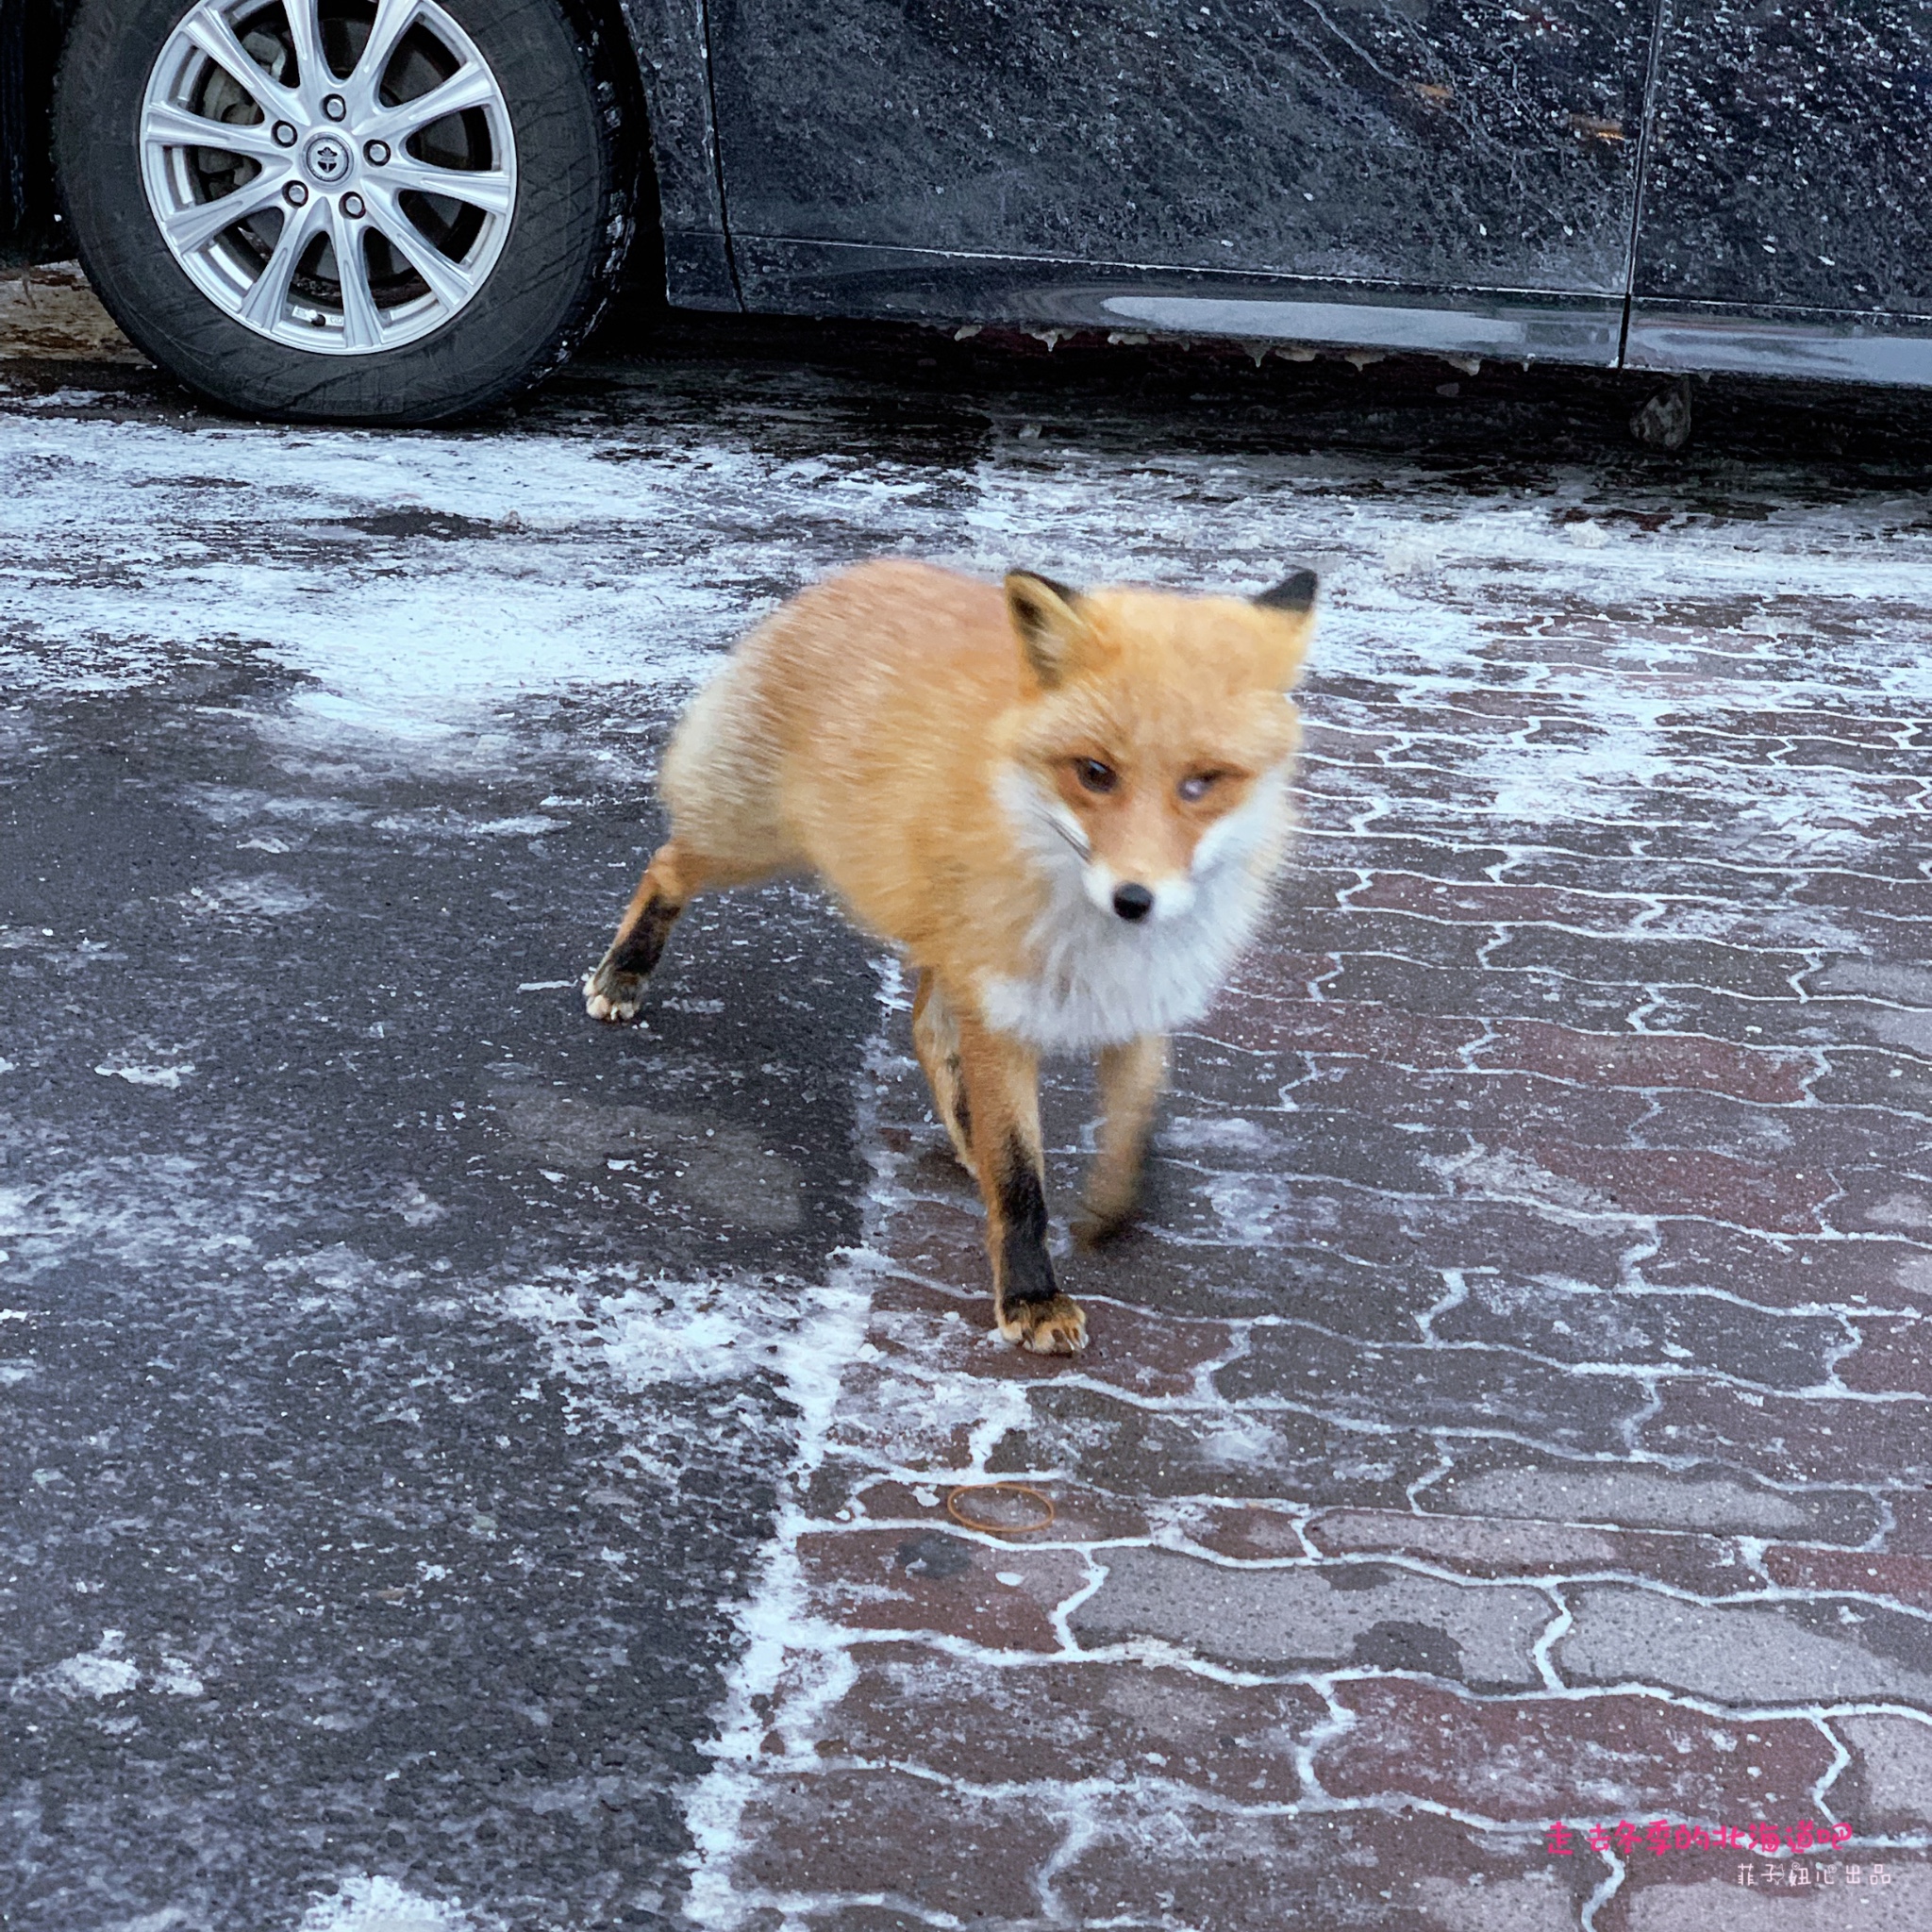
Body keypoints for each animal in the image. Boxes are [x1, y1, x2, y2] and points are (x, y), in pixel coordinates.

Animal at [579, 559, 1321, 1352]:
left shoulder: (1140, 1001)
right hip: (757, 840)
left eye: (1201, 783)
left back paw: (966, 1140)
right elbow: (1021, 1180)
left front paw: (1111, 1213)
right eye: (1094, 773)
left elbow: (1131, 1129)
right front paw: (1031, 1297)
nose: (1135, 900)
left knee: (924, 1024)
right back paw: (622, 973)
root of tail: (861, 571)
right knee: (667, 864)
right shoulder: (1001, 1015)